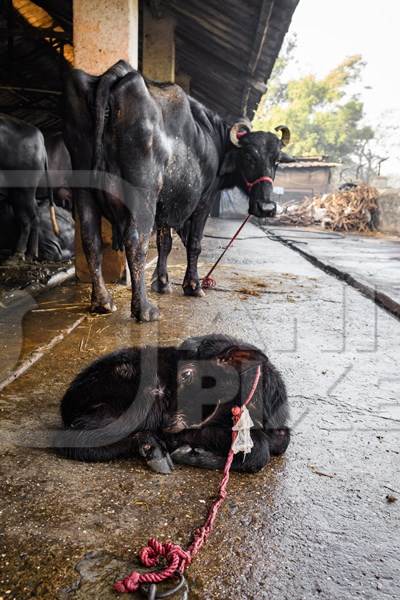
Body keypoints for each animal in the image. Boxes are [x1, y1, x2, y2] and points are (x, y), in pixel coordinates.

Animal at [56, 332, 290, 474]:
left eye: (186, 374)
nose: (166, 424)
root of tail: (68, 400)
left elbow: (279, 442)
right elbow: (260, 451)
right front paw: (189, 453)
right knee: (75, 440)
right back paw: (154, 449)